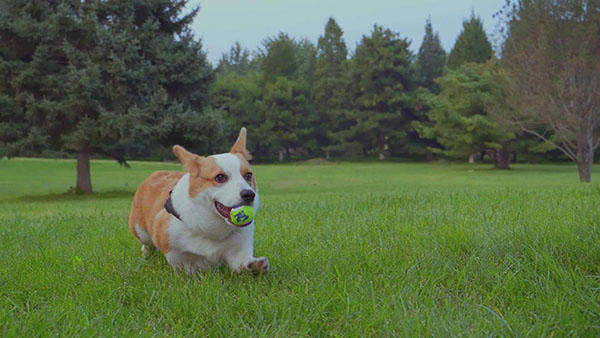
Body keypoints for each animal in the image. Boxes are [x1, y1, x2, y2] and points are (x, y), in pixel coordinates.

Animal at [129, 129, 270, 274]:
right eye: (220, 177)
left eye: (248, 175)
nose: (249, 194)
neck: (213, 230)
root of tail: (156, 173)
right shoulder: (171, 245)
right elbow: (182, 264)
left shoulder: (238, 249)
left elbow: (241, 262)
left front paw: (256, 266)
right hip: (140, 230)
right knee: (147, 244)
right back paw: (146, 254)